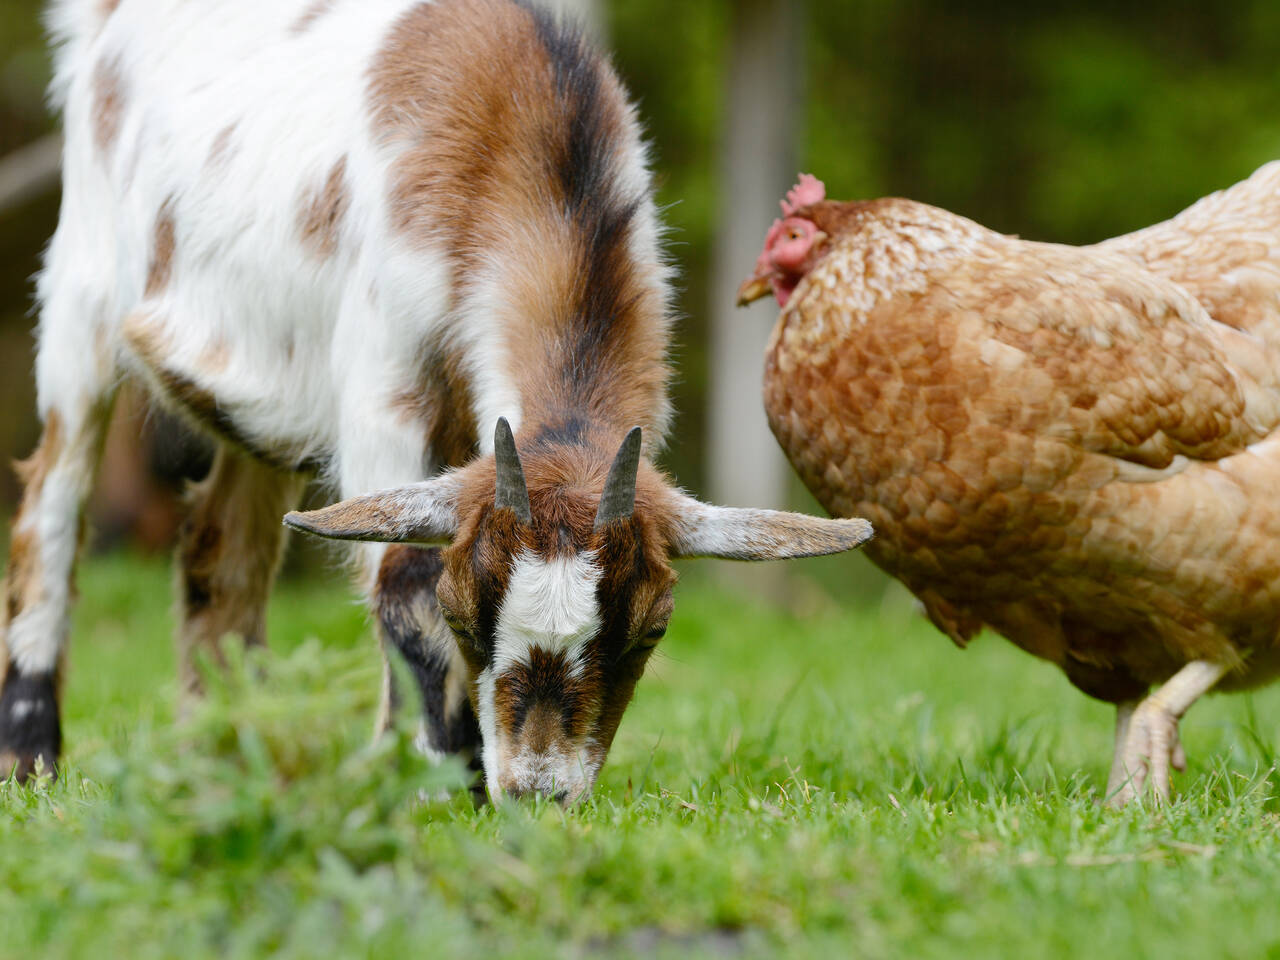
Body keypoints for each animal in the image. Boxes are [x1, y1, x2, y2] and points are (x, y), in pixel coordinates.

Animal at [5, 0, 870, 798]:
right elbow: (402, 583)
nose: (538, 791)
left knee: (218, 554)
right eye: (463, 613)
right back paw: (32, 755)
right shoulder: (384, 393)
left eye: (649, 630)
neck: (522, 133)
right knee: (53, 503)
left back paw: (223, 758)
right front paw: (425, 785)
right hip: (79, 298)